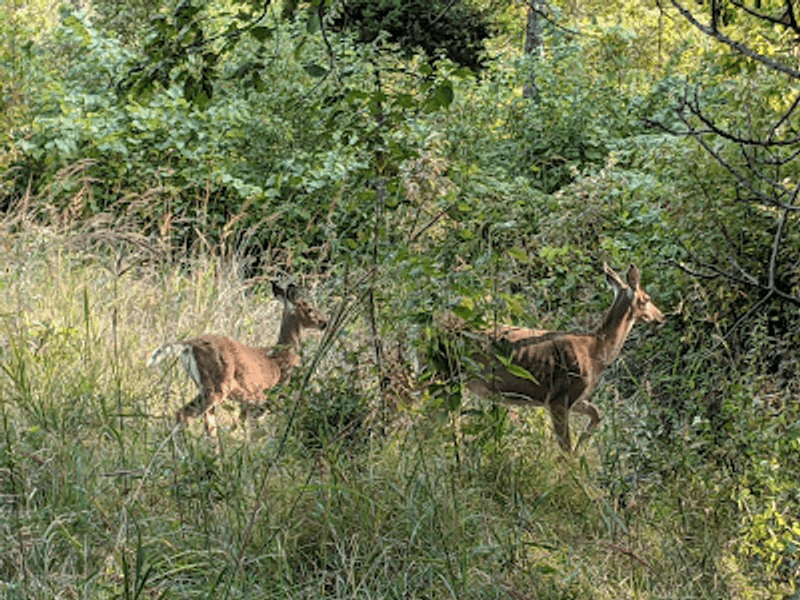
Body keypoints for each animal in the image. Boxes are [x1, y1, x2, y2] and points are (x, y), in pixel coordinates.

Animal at [147, 281, 328, 440]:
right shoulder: (269, 396)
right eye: (310, 308)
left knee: (200, 422)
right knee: (188, 416)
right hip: (218, 386)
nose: (324, 322)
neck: (285, 352)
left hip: (204, 387)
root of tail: (189, 345)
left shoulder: (250, 403)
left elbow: (241, 427)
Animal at [447, 263, 664, 452]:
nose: (662, 317)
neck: (594, 352)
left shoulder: (575, 398)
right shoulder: (559, 396)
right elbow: (565, 447)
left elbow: (597, 413)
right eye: (646, 299)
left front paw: (581, 446)